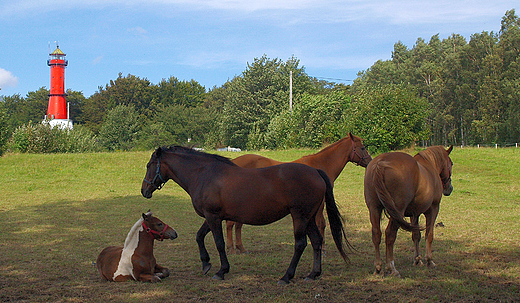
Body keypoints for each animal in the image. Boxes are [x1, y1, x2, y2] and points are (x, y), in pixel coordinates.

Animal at [141, 147, 350, 284]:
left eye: (149, 165)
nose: (144, 190)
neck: (204, 175)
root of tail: (315, 171)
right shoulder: (212, 217)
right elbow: (199, 236)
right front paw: (206, 263)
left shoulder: (213, 216)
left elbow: (219, 243)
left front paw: (221, 271)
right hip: (309, 218)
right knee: (316, 241)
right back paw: (313, 274)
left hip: (299, 217)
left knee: (300, 244)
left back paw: (286, 277)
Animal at [229, 134, 374, 255]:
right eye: (362, 147)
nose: (370, 161)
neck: (320, 164)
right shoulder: (320, 203)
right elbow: (321, 223)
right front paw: (322, 248)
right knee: (231, 224)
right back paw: (232, 248)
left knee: (237, 224)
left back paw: (240, 248)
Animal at [364, 147, 452, 278]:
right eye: (451, 164)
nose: (449, 188)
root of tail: (380, 163)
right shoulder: (433, 210)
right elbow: (429, 235)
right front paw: (429, 260)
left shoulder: (414, 214)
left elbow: (416, 235)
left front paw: (417, 259)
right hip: (397, 212)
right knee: (390, 234)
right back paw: (391, 267)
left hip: (374, 208)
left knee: (376, 234)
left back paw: (378, 267)